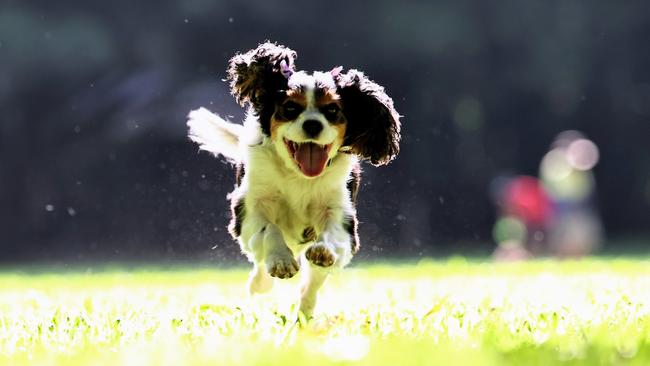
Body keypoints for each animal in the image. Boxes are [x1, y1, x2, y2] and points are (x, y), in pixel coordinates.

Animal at [186, 40, 400, 318]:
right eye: (290, 108)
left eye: (332, 110)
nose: (312, 124)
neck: (297, 174)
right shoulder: (248, 208)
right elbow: (268, 229)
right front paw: (281, 260)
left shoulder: (340, 211)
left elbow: (334, 234)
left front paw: (323, 250)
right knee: (260, 269)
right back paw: (260, 284)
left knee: (311, 285)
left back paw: (304, 314)